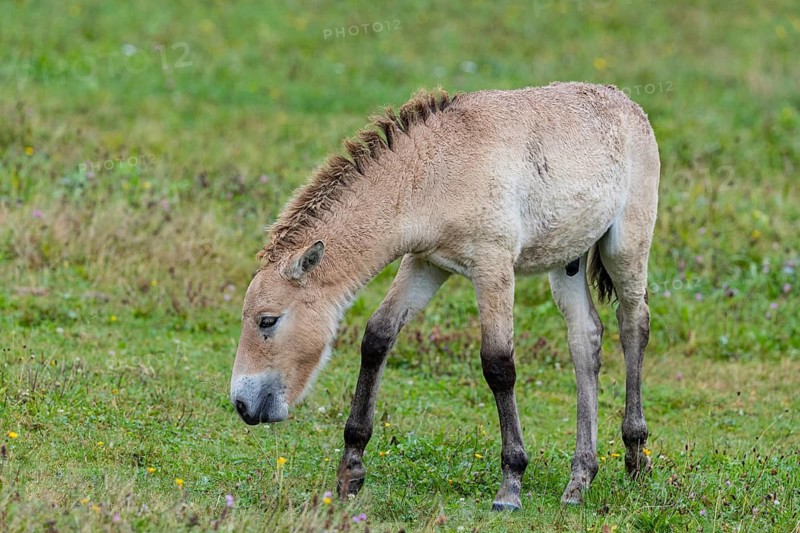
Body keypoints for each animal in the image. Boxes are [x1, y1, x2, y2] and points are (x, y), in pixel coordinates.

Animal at [230, 82, 659, 508]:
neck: (435, 173)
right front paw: (351, 471)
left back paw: (636, 458)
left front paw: (511, 483)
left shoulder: (492, 265)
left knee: (633, 325)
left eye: (268, 320)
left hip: (627, 246)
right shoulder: (425, 263)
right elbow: (378, 337)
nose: (242, 404)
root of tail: (627, 103)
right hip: (567, 258)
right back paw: (579, 480)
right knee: (585, 339)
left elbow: (498, 364)